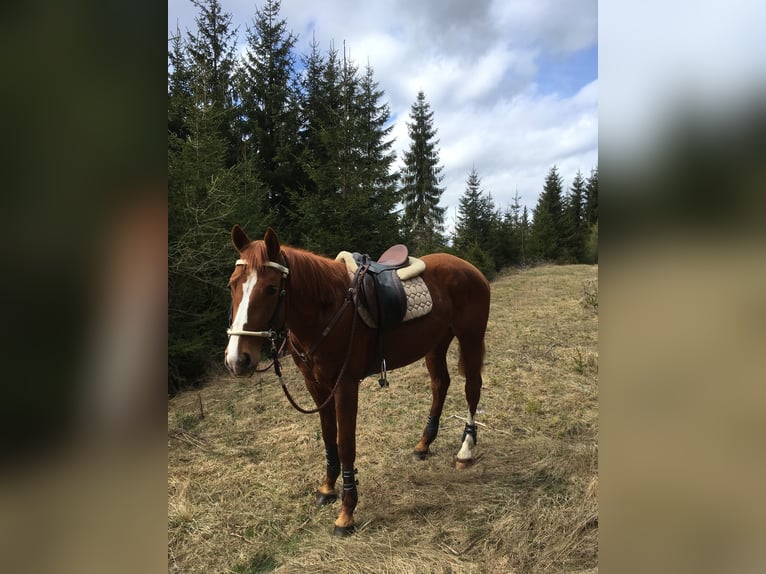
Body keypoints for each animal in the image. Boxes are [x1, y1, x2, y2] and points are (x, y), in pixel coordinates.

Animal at [224, 226, 490, 536]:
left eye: (270, 288)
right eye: (232, 285)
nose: (237, 359)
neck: (327, 310)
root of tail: (469, 267)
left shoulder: (345, 386)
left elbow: (346, 444)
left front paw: (346, 512)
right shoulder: (316, 387)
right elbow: (329, 436)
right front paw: (327, 488)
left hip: (471, 338)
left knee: (472, 388)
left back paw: (465, 450)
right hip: (435, 344)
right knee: (440, 384)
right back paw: (424, 444)